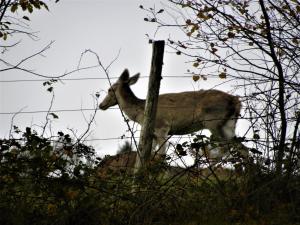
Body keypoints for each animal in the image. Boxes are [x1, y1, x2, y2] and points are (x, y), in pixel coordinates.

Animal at [99, 68, 247, 165]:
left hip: (213, 121)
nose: (101, 105)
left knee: (229, 148)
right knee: (242, 148)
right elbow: (147, 156)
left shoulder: (162, 127)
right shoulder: (152, 134)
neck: (141, 113)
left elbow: (161, 156)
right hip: (229, 123)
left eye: (110, 89)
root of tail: (236, 101)